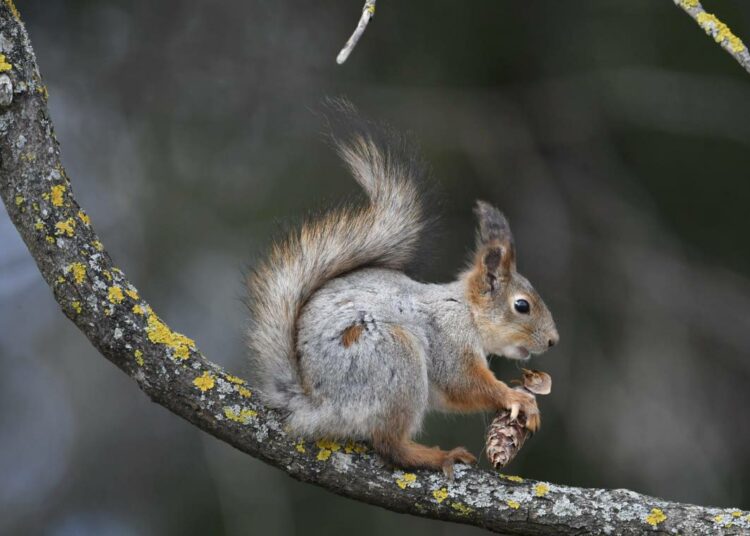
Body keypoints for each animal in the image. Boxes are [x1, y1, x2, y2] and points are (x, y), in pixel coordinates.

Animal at [247, 102, 560, 476]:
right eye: (522, 305)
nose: (553, 341)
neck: (466, 311)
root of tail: (317, 406)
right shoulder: (447, 337)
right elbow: (463, 383)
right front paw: (517, 398)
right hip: (395, 359)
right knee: (389, 445)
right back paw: (435, 456)